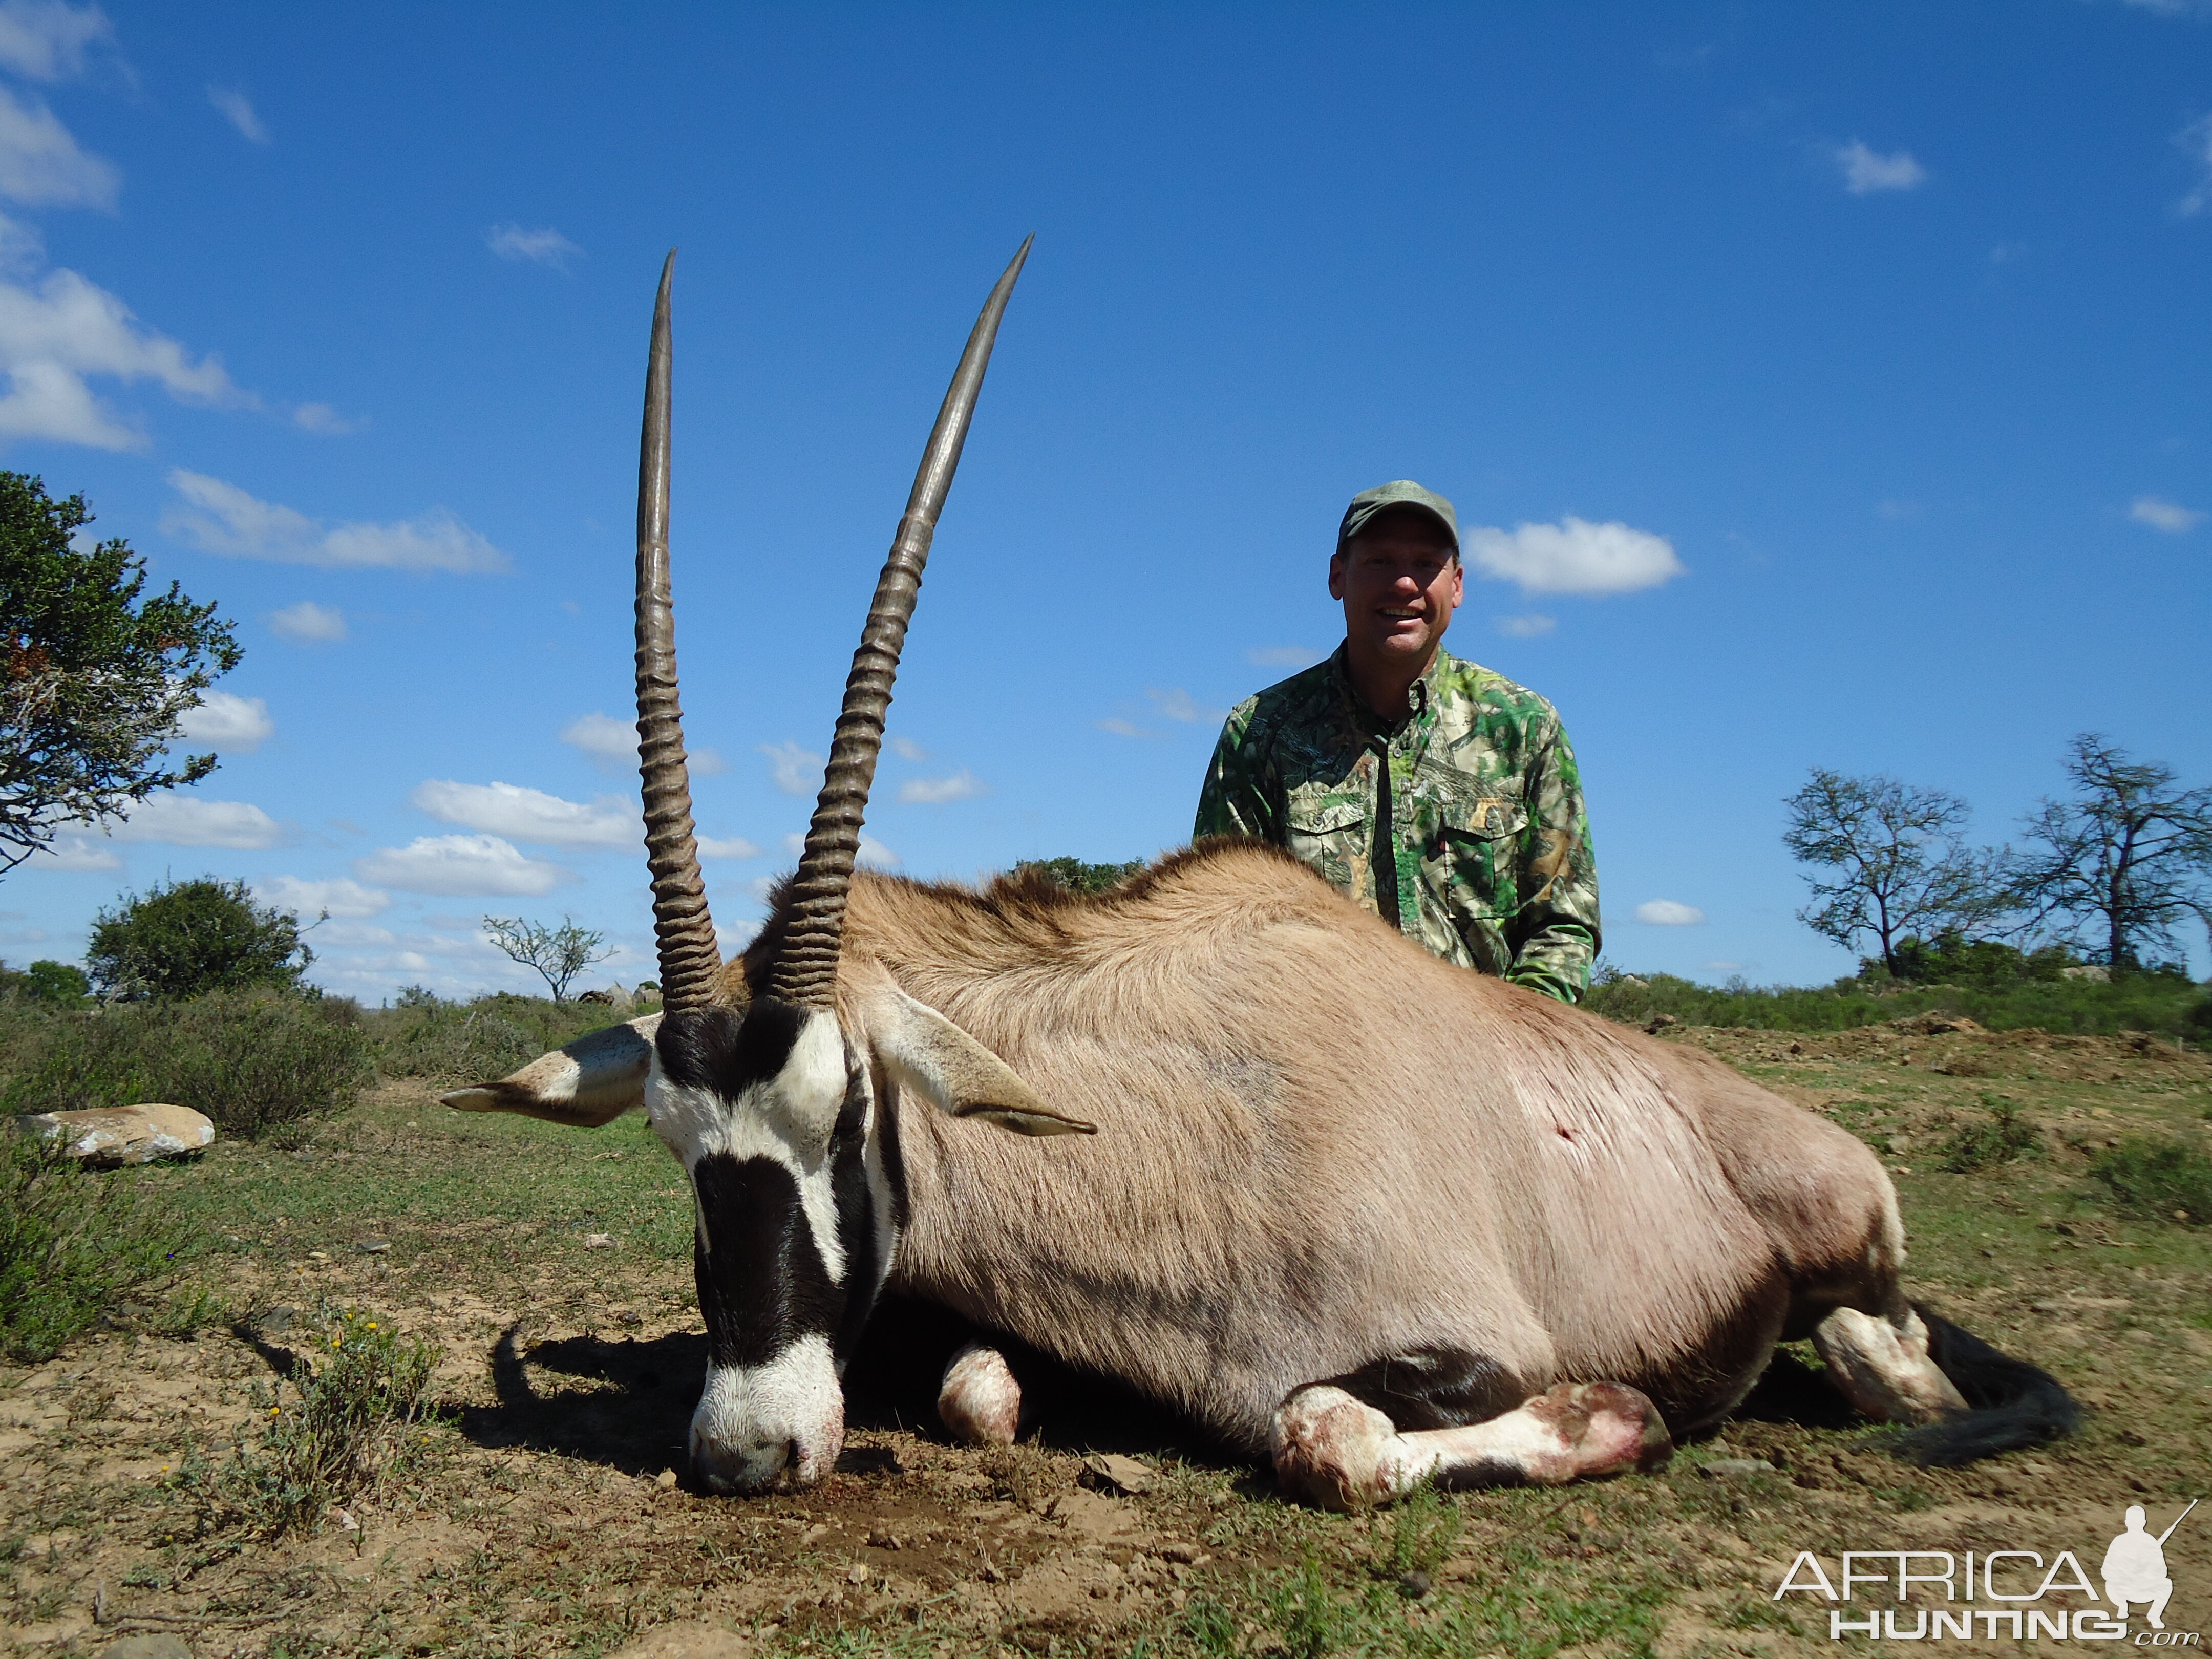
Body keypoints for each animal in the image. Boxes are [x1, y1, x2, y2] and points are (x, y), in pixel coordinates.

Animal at [444, 246, 2070, 1504]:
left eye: (844, 1119)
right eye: (673, 1144)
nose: (747, 1448)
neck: (1167, 1117)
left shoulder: (1457, 1342)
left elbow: (1325, 1433)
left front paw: (1612, 1415)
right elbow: (984, 1391)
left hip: (1853, 1265)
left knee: (1883, 1360)